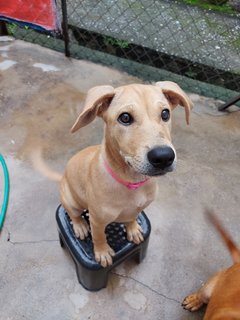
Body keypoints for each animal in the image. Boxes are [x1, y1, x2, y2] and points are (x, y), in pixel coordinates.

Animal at [32, 81, 192, 266]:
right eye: (125, 117)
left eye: (165, 113)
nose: (164, 157)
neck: (132, 181)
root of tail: (63, 177)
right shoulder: (97, 220)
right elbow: (99, 237)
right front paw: (102, 252)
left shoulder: (137, 208)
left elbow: (132, 217)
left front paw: (133, 229)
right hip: (71, 201)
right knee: (73, 214)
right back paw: (80, 226)